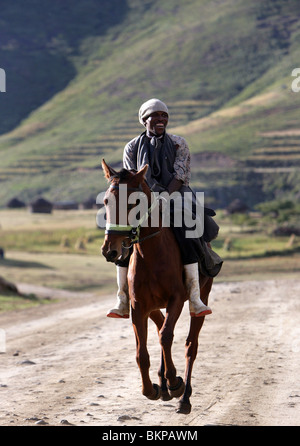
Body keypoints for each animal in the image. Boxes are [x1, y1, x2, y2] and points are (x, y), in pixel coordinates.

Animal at [101, 160, 213, 414]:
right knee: (161, 325)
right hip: (151, 306)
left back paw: (183, 397)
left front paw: (174, 383)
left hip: (201, 296)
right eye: (106, 201)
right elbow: (141, 353)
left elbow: (165, 337)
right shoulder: (139, 306)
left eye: (133, 202)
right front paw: (151, 389)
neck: (150, 252)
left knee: (190, 345)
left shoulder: (176, 300)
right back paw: (162, 384)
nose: (110, 250)